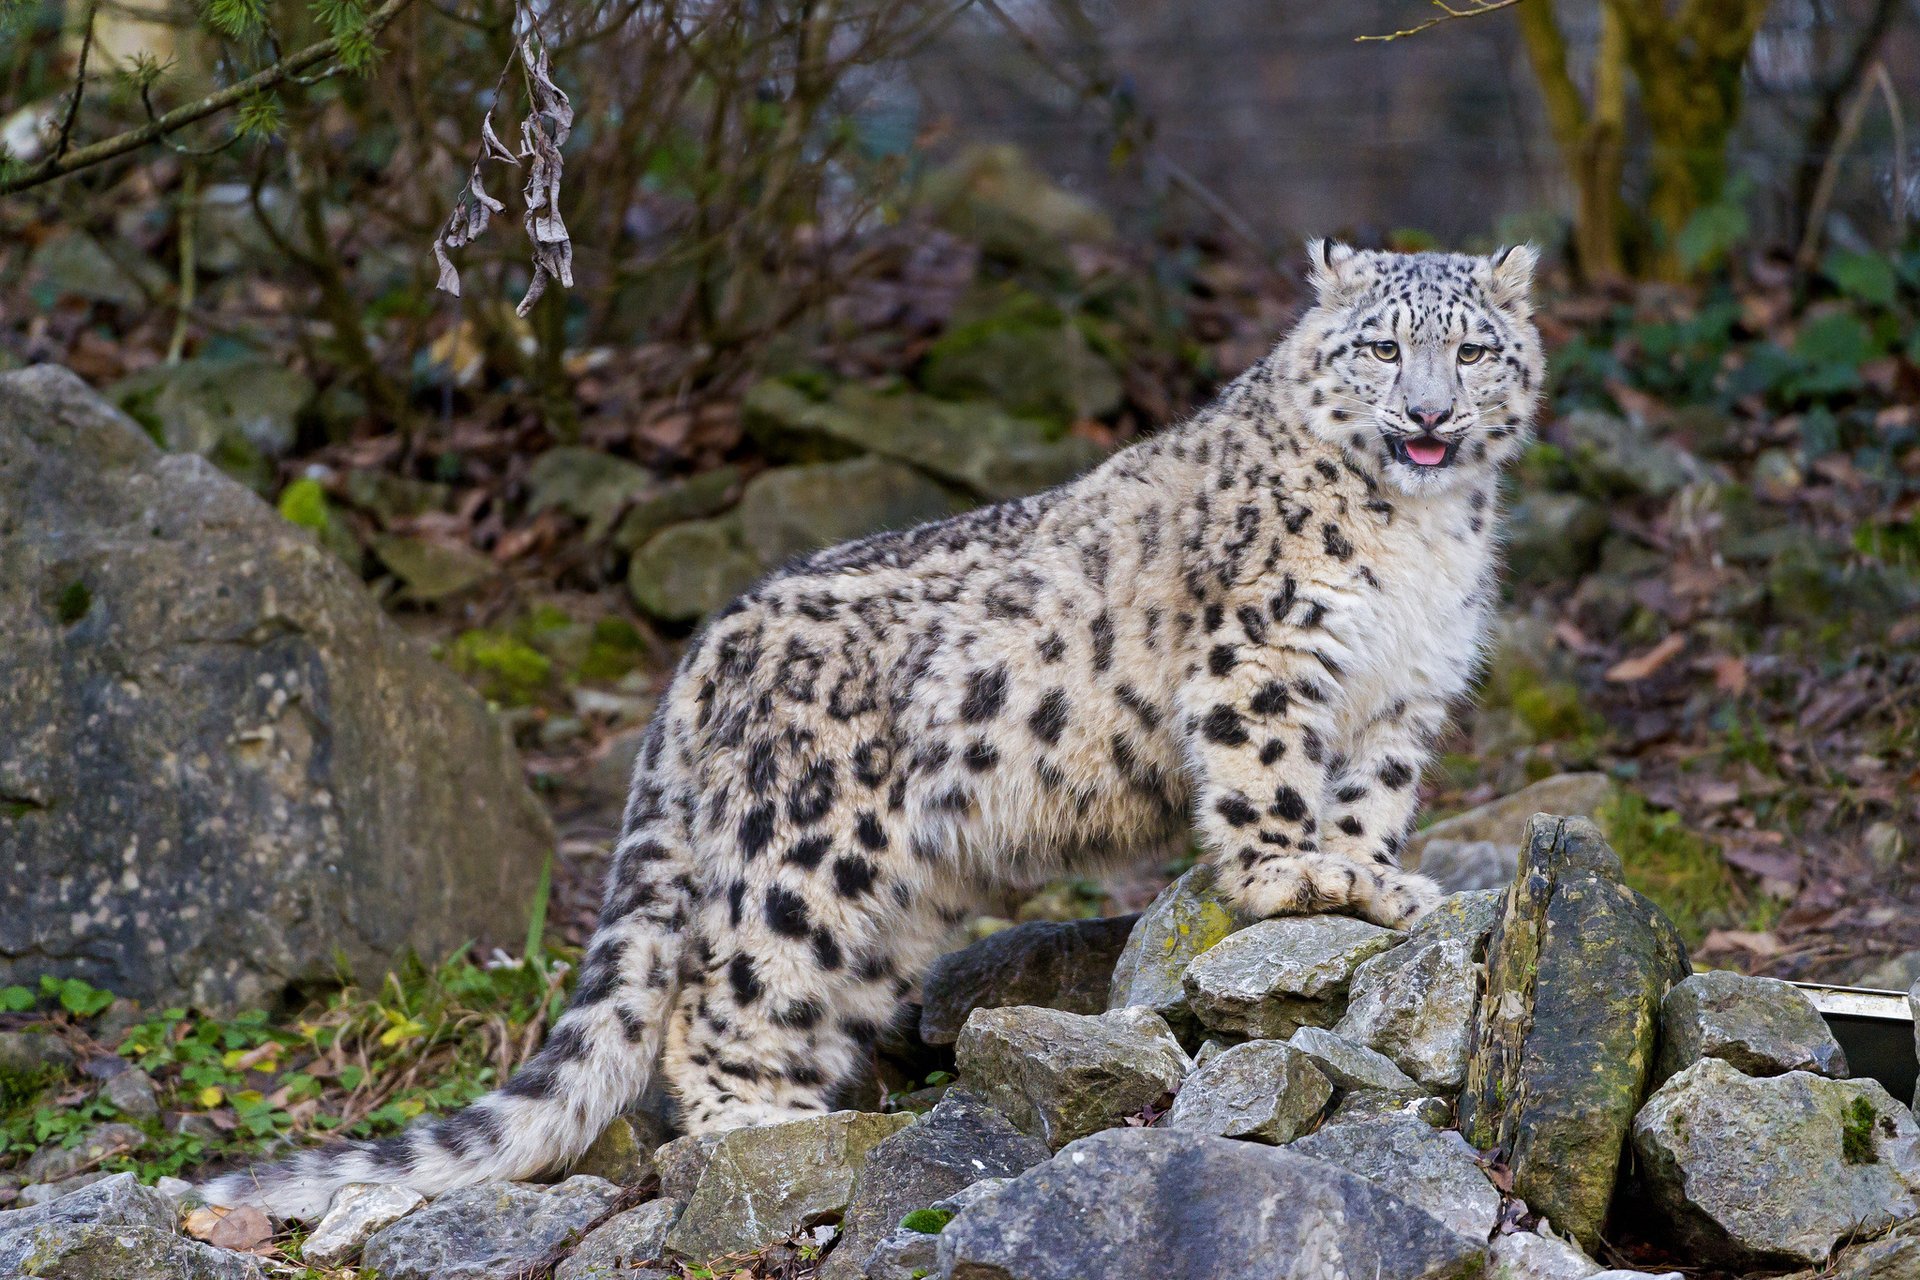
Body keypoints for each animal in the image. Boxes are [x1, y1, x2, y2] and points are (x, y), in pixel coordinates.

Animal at [206, 240, 1544, 1218]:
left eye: (1475, 349)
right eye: (1382, 346)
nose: (1429, 415)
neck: (1423, 537)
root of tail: (705, 646)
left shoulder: (1404, 690)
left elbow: (1369, 792)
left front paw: (1370, 875)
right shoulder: (1259, 650)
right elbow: (1267, 768)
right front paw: (1294, 872)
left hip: (895, 903)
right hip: (808, 857)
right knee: (715, 1001)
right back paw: (774, 1134)